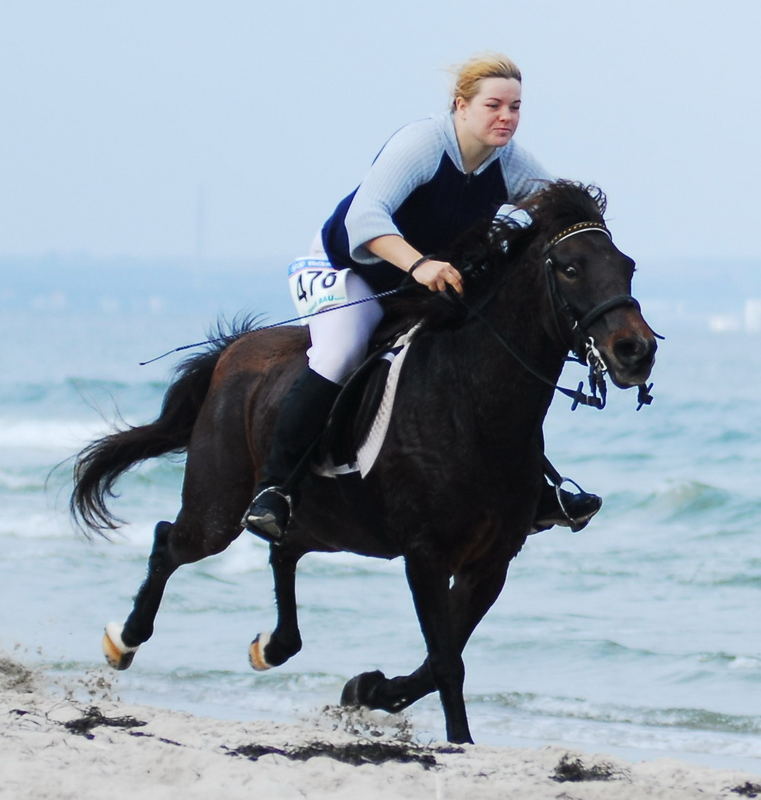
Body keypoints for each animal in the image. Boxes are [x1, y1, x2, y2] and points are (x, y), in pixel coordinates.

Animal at [70, 181, 660, 744]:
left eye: (627, 266)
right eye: (570, 268)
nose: (636, 350)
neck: (472, 401)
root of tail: (233, 352)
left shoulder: (491, 561)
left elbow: (440, 656)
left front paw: (368, 689)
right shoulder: (425, 555)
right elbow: (446, 661)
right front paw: (458, 739)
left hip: (315, 519)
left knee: (282, 552)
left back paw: (272, 645)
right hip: (217, 507)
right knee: (171, 541)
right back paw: (124, 641)